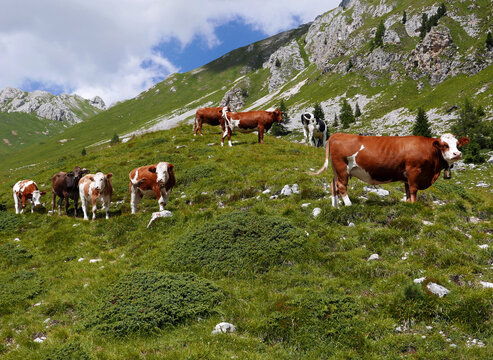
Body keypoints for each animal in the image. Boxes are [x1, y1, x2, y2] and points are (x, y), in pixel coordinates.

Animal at [310, 133, 468, 207]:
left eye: (458, 144)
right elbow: (413, 189)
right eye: (445, 145)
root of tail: (338, 134)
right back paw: (348, 204)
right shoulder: (414, 171)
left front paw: (408, 204)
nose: (457, 154)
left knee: (333, 185)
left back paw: (335, 206)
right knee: (341, 186)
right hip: (342, 168)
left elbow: (407, 191)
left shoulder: (406, 176)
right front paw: (415, 205)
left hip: (336, 170)